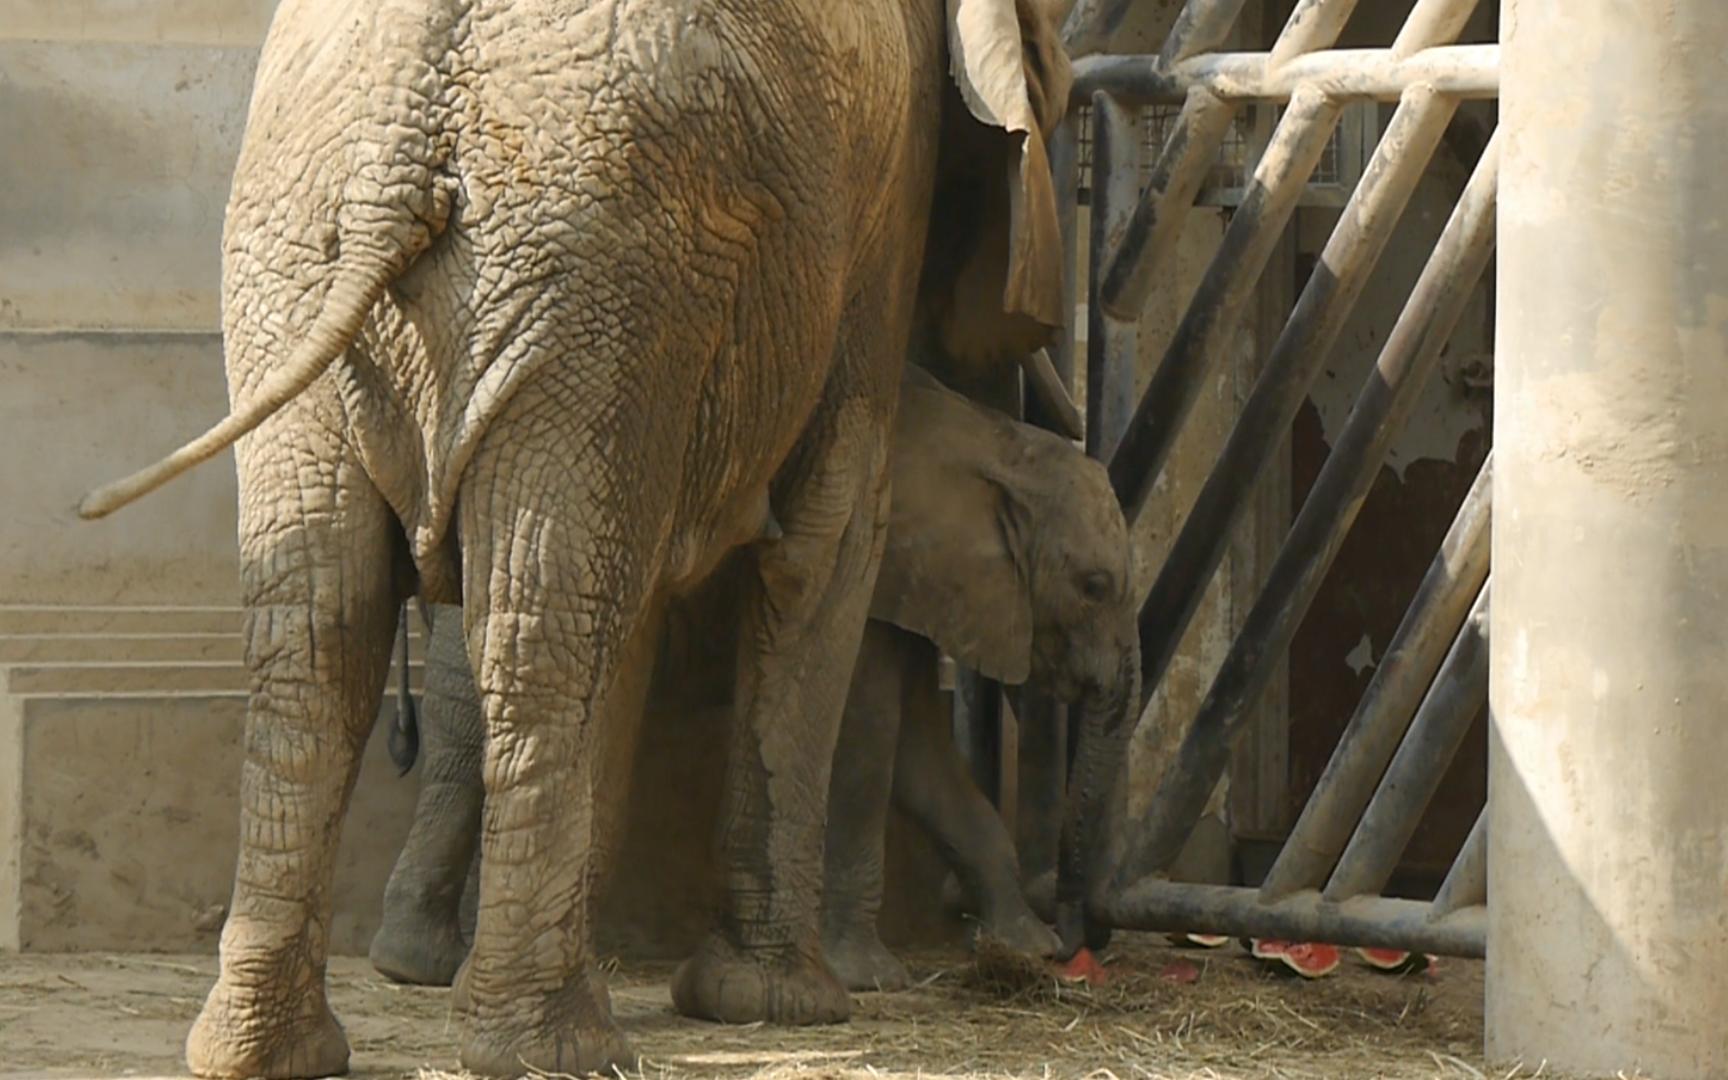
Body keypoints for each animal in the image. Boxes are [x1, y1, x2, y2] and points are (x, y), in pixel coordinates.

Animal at [369, 366, 1140, 988]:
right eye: (1094, 586)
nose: (1080, 944)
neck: (1000, 446)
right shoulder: (882, 559)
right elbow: (868, 740)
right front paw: (869, 978)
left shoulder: (923, 587)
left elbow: (923, 758)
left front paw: (1025, 945)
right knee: (468, 731)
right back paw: (431, 966)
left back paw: (426, 963)